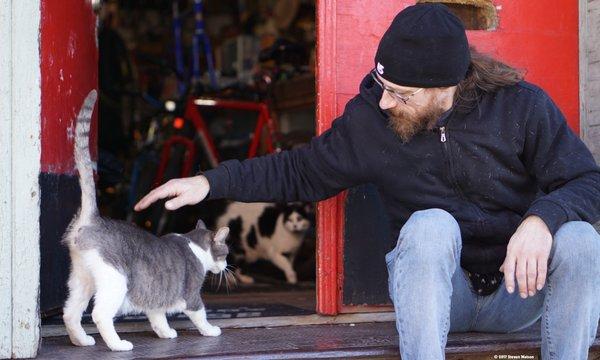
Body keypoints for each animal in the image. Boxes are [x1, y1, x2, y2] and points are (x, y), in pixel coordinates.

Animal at [61, 90, 230, 352]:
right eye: (225, 253)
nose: (226, 267)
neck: (195, 245)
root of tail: (93, 219)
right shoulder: (192, 296)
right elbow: (200, 315)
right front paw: (211, 331)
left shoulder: (156, 298)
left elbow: (158, 318)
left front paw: (167, 333)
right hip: (115, 281)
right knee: (100, 314)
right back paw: (118, 345)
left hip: (82, 280)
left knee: (69, 313)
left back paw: (82, 341)